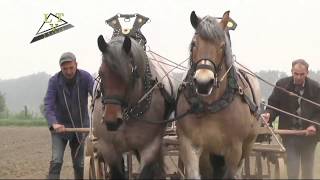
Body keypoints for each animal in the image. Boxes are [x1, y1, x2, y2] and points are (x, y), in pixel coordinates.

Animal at [175, 11, 262, 179]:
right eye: (194, 44)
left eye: (222, 46)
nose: (203, 83)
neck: (210, 105)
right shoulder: (189, 144)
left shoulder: (234, 149)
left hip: (247, 146)